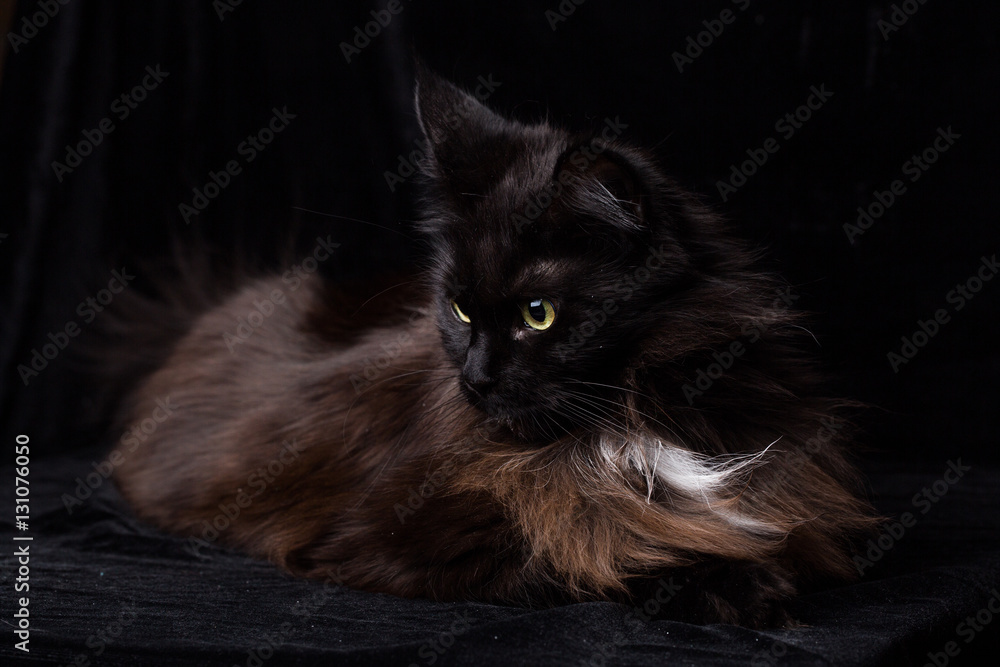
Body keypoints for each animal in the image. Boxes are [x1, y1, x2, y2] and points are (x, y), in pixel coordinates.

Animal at [107, 65, 876, 628]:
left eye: (539, 314)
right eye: (459, 307)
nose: (474, 379)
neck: (632, 416)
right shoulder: (394, 535)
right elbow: (595, 553)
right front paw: (741, 584)